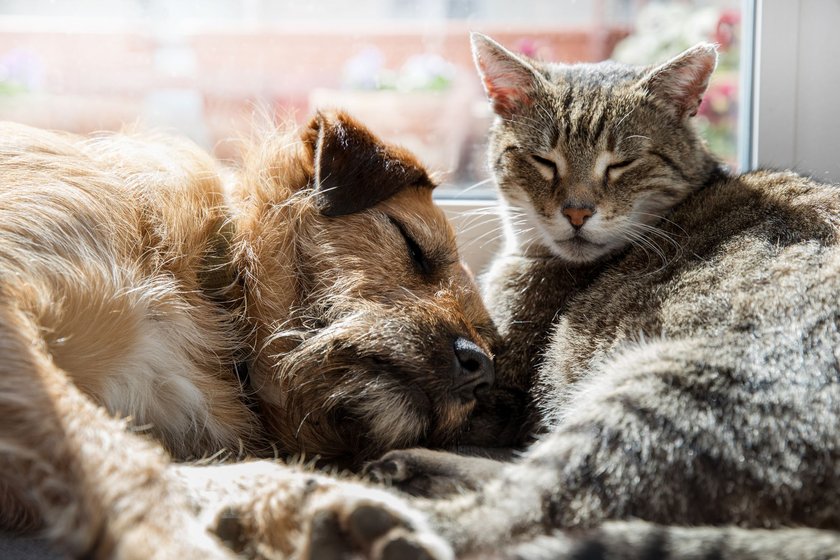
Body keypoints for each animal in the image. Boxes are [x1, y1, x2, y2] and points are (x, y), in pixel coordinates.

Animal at [1, 111, 492, 556]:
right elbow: (126, 456)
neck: (214, 287)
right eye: (414, 247)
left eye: (489, 336)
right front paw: (175, 539)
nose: (480, 368)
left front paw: (312, 504)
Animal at [366, 32, 840, 556]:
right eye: (543, 160)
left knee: (512, 512)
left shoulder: (496, 394)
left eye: (621, 164)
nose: (576, 212)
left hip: (656, 395)